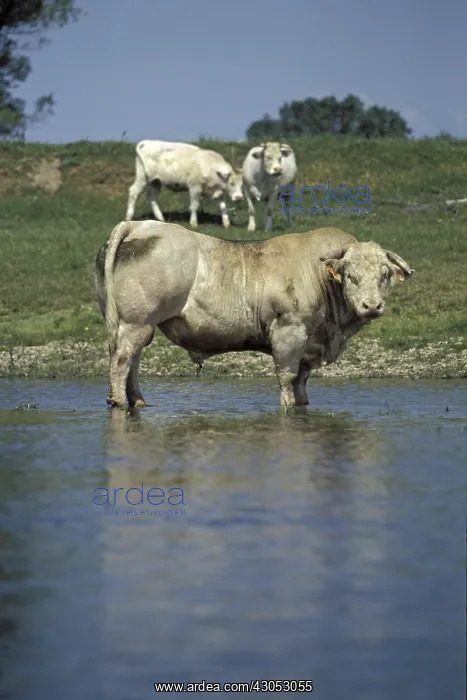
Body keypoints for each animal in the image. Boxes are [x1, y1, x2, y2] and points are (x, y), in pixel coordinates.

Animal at [95, 221, 414, 410]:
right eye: (350, 277)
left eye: (385, 275)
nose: (371, 306)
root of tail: (139, 224)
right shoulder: (289, 333)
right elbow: (287, 379)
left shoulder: (309, 345)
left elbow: (302, 383)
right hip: (136, 323)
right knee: (121, 363)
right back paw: (120, 402)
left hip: (138, 327)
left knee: (133, 363)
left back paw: (138, 402)